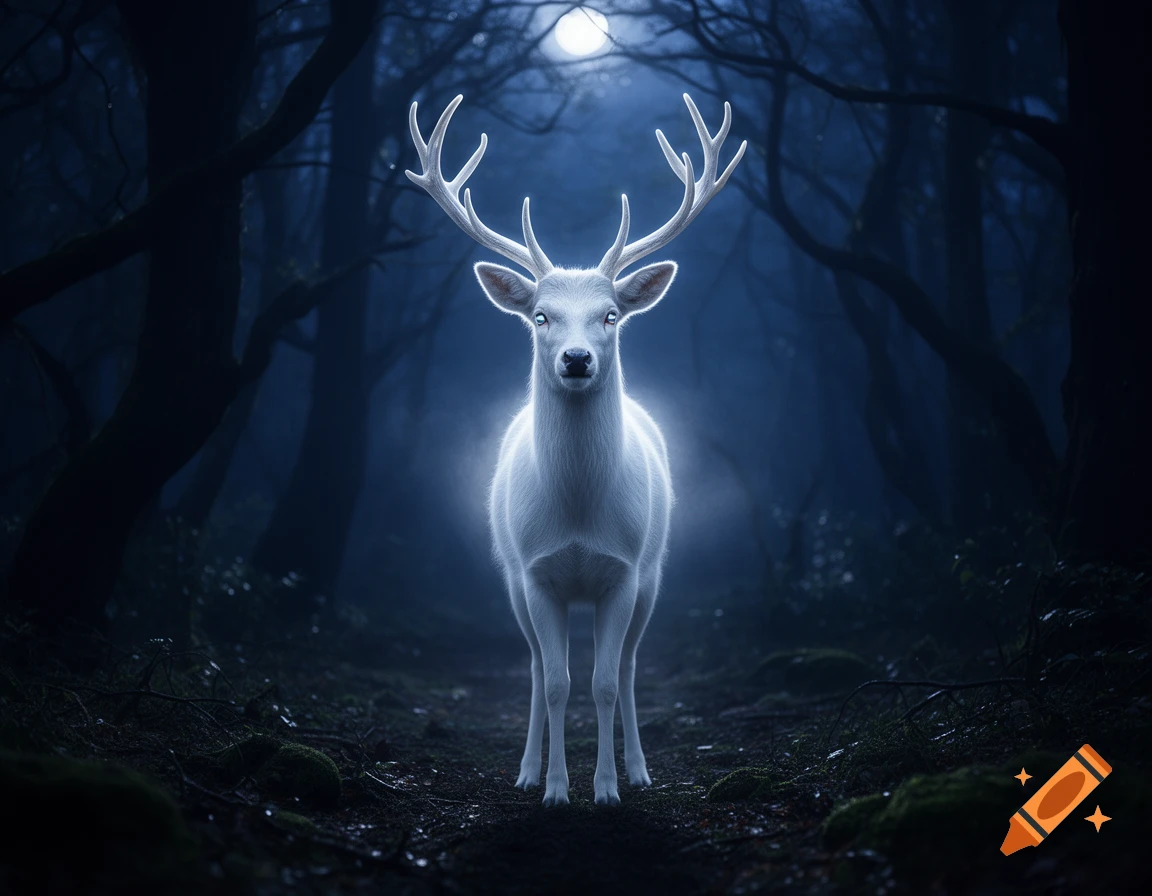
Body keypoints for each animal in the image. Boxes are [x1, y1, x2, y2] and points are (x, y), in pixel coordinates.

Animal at [406, 93, 746, 806]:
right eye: (540, 316)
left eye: (611, 315)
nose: (577, 358)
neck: (581, 518)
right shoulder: (535, 573)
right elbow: (561, 682)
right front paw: (556, 790)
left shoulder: (624, 571)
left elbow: (607, 682)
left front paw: (610, 788)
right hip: (510, 575)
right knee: (538, 667)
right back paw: (526, 769)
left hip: (654, 572)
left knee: (633, 664)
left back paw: (640, 768)